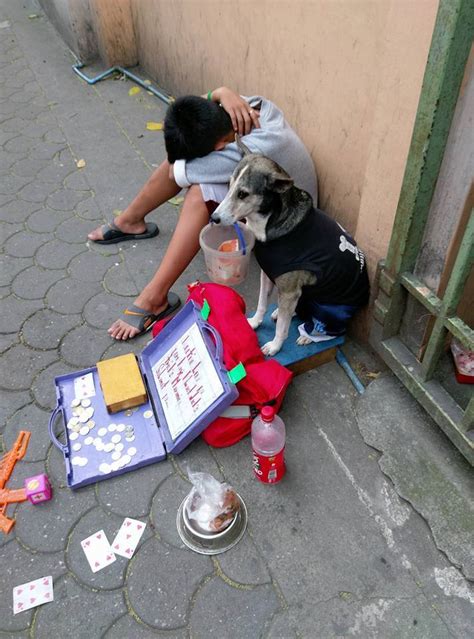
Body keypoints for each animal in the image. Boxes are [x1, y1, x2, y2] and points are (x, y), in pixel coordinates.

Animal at [211, 139, 370, 358]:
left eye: (243, 194)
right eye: (229, 185)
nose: (214, 218)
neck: (270, 221)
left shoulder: (289, 290)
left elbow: (282, 329)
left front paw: (275, 346)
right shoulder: (268, 274)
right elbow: (262, 303)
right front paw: (254, 322)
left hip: (331, 309)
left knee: (334, 329)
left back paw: (310, 335)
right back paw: (282, 312)